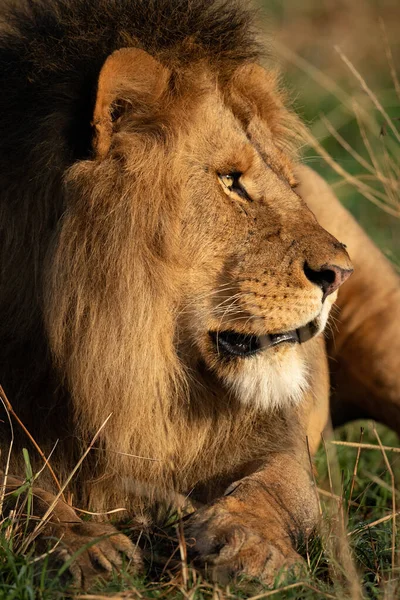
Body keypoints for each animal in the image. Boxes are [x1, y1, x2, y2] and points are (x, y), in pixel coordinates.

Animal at [0, 0, 400, 592]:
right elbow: (17, 495)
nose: (338, 274)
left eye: (288, 182)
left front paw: (247, 545)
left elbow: (279, 488)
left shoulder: (275, 433)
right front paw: (83, 549)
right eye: (230, 180)